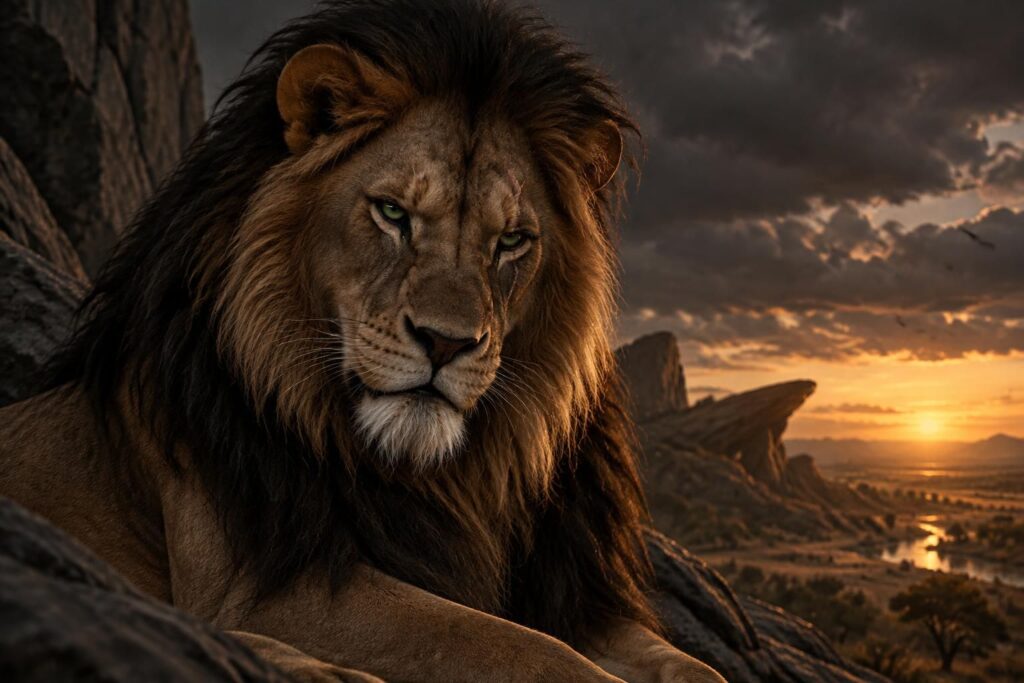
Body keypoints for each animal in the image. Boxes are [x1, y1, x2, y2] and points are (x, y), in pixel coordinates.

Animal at [0, 1, 724, 681]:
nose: (444, 343)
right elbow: (526, 650)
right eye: (393, 213)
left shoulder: (571, 595)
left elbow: (693, 666)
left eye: (512, 241)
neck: (444, 478)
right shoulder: (268, 586)